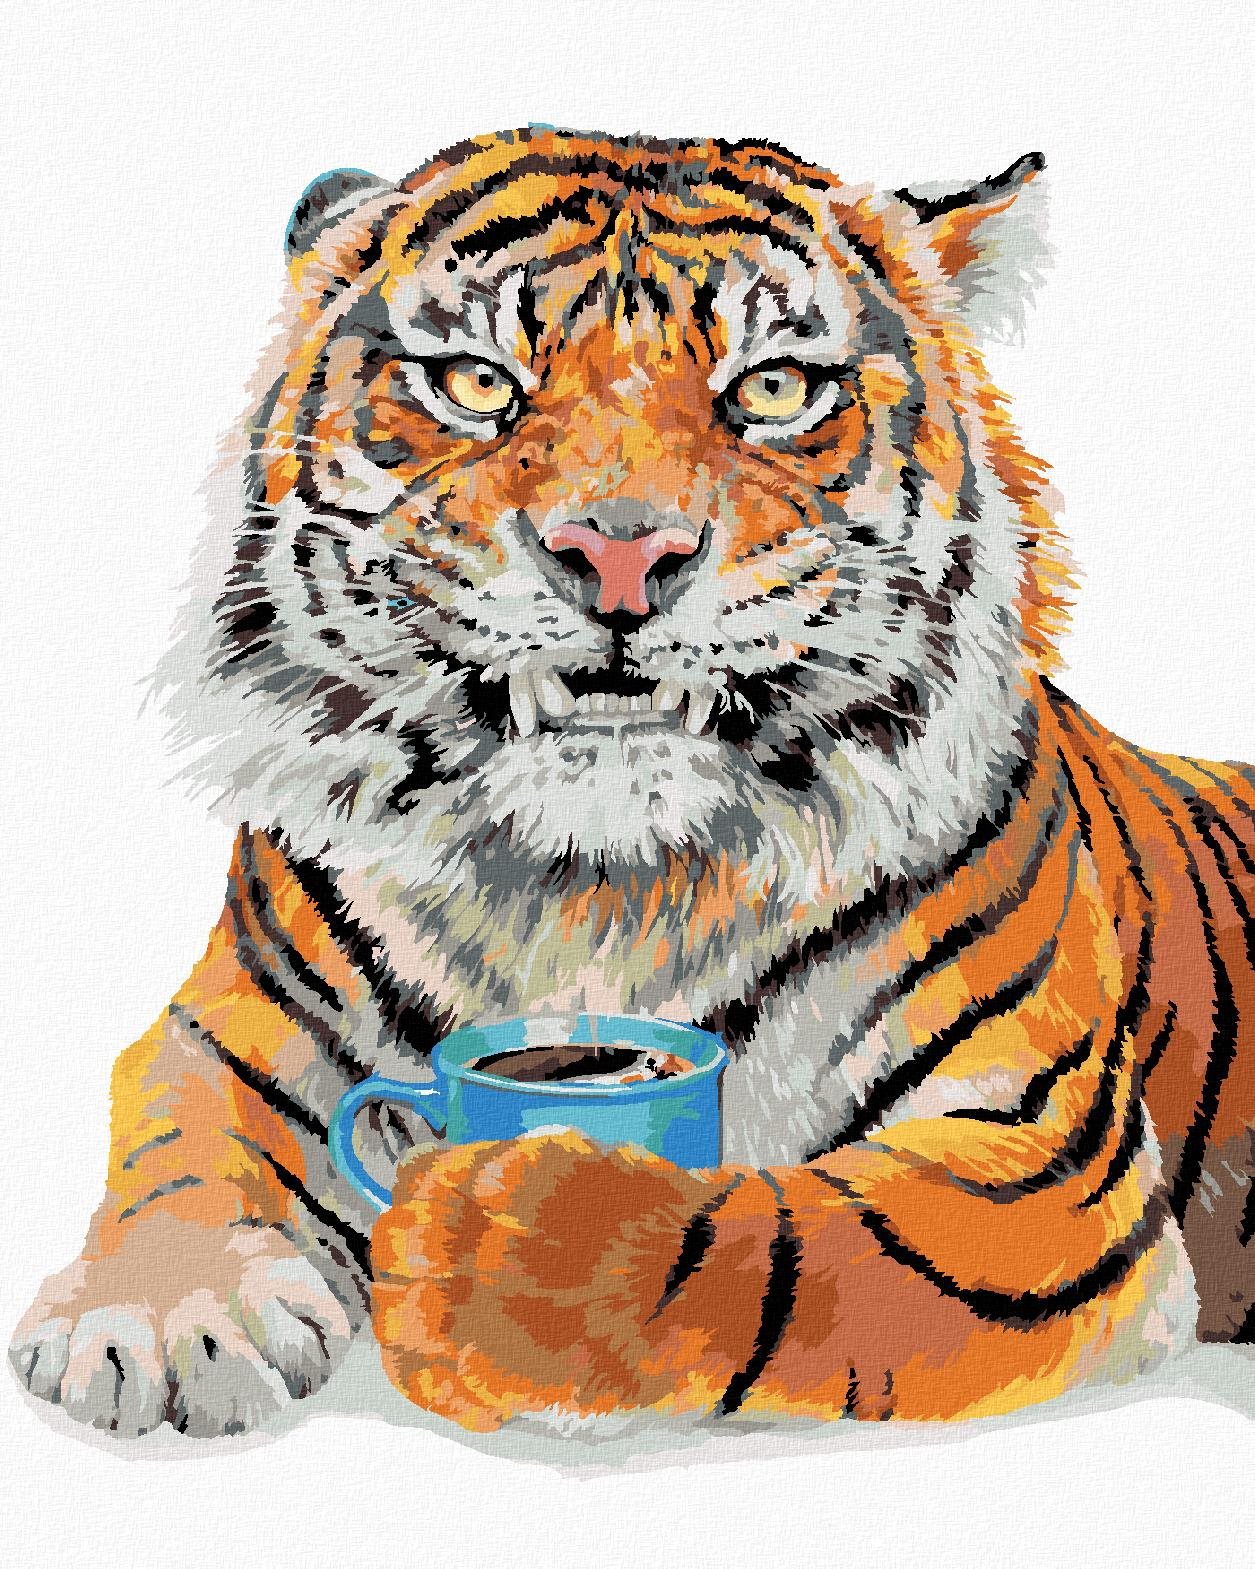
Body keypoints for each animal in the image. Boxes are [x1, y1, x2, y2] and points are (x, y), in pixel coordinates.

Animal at [10, 127, 1254, 1439]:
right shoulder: (226, 1023)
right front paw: (154, 1319)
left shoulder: (1036, 1164)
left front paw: (495, 1250)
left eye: (773, 390)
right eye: (475, 384)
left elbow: (776, 1243)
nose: (619, 554)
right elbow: (182, 1142)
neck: (593, 886)